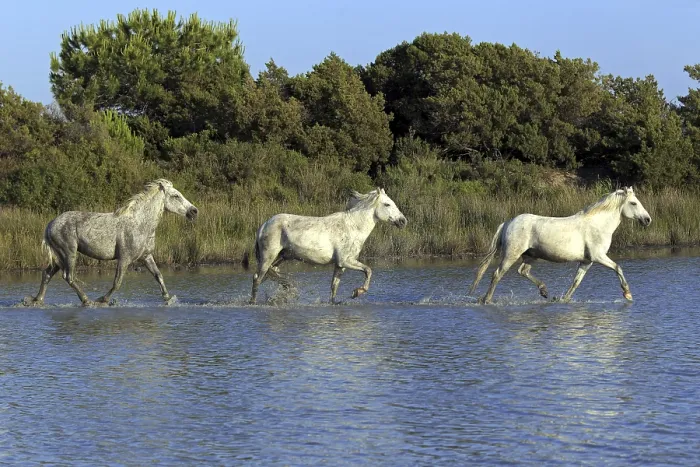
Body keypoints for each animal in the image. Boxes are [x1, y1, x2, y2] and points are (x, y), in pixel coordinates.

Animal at [23, 179, 198, 307]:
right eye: (175, 196)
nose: (194, 211)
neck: (141, 224)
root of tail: (50, 225)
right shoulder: (125, 259)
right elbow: (117, 283)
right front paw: (103, 300)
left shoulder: (146, 257)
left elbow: (159, 276)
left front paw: (168, 299)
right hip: (69, 253)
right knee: (69, 277)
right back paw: (88, 301)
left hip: (59, 257)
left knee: (47, 274)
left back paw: (35, 300)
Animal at [249, 188, 408, 304]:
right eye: (387, 204)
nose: (403, 221)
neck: (353, 227)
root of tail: (263, 226)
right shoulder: (346, 261)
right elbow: (368, 270)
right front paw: (357, 292)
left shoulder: (340, 265)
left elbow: (334, 287)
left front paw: (335, 302)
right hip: (268, 256)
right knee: (257, 278)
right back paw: (253, 302)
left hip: (282, 256)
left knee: (271, 273)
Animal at [469, 187, 651, 304]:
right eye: (633, 203)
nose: (647, 219)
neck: (598, 225)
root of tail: (508, 222)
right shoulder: (599, 257)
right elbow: (618, 268)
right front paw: (627, 294)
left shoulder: (587, 261)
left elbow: (576, 282)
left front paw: (563, 299)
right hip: (511, 254)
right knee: (497, 274)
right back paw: (486, 300)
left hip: (531, 255)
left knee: (523, 271)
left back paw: (544, 291)